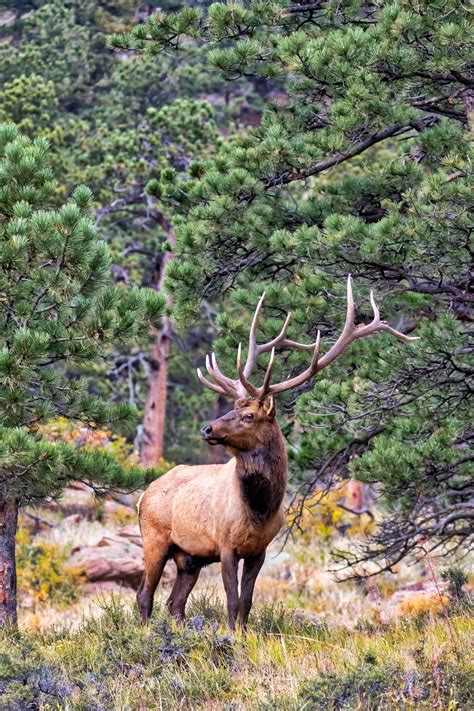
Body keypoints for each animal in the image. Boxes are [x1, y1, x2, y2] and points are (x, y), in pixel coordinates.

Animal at [138, 278, 418, 628]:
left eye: (247, 415)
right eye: (233, 408)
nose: (207, 429)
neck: (259, 512)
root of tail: (143, 494)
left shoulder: (259, 550)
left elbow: (246, 602)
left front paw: (243, 633)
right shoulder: (225, 544)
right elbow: (232, 601)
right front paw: (232, 634)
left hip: (190, 557)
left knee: (175, 602)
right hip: (154, 538)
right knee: (145, 595)